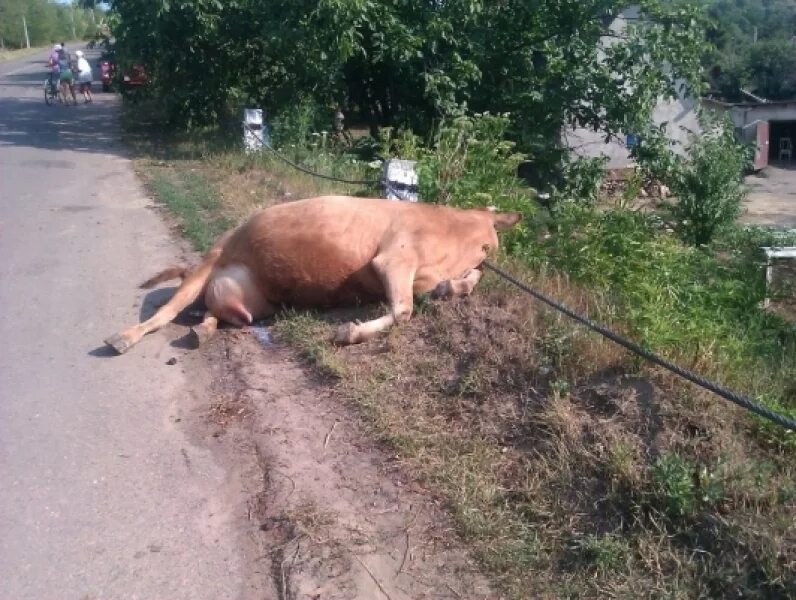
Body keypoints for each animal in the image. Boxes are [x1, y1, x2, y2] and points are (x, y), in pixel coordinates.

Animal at [104, 195, 524, 354]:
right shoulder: (394, 258)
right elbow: (404, 311)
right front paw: (348, 331)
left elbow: (457, 286)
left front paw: (452, 287)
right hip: (211, 260)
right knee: (166, 312)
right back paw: (123, 337)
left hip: (249, 301)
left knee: (215, 310)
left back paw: (202, 332)